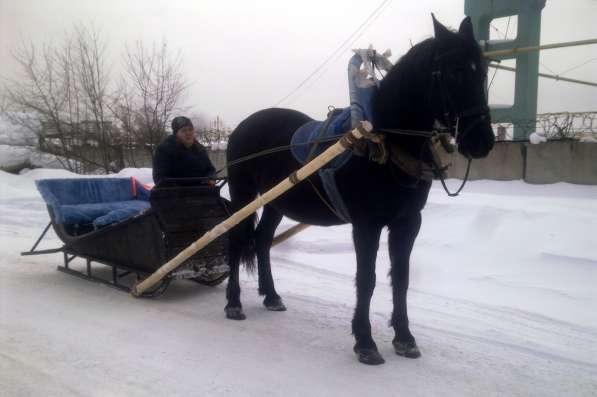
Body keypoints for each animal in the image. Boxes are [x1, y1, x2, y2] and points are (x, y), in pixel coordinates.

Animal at [224, 14, 494, 366]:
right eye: (452, 72)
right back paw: (233, 303)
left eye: (483, 70)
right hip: (242, 194)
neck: (387, 142)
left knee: (262, 240)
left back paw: (271, 296)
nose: (482, 141)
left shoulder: (408, 222)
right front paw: (365, 341)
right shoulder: (367, 224)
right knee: (236, 240)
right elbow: (367, 279)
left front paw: (404, 337)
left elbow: (401, 277)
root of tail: (243, 126)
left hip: (276, 202)